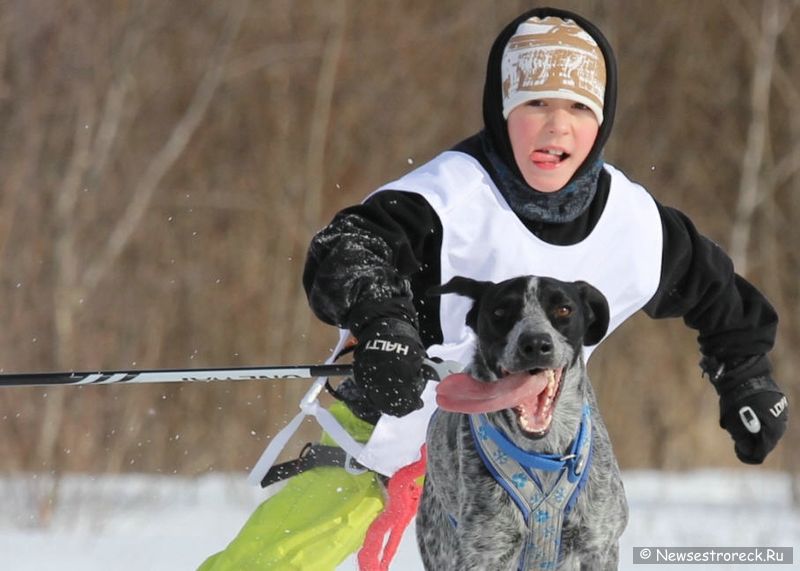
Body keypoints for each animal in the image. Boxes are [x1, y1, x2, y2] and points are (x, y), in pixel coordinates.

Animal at [418, 274, 632, 568]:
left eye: (563, 309)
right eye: (499, 312)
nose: (535, 344)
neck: (545, 455)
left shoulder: (600, 546)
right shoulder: (483, 554)